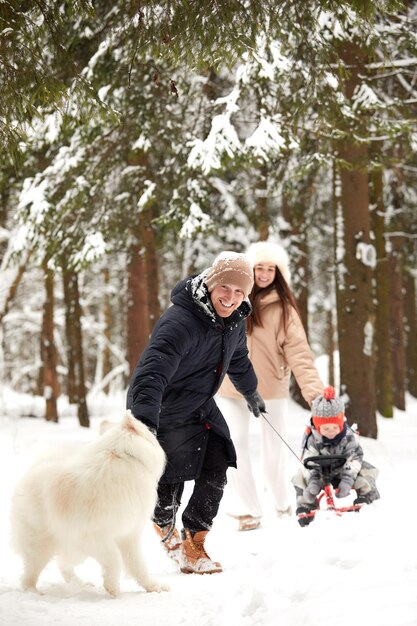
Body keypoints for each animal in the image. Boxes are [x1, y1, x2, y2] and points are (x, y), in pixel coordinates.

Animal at [11, 410, 167, 596]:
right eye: (148, 429)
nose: (156, 428)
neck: (122, 455)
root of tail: (32, 470)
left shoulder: (129, 535)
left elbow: (139, 566)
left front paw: (154, 587)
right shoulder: (93, 536)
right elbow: (114, 559)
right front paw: (113, 588)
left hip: (71, 548)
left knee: (63, 565)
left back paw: (80, 584)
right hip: (42, 545)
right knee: (29, 575)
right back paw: (34, 593)